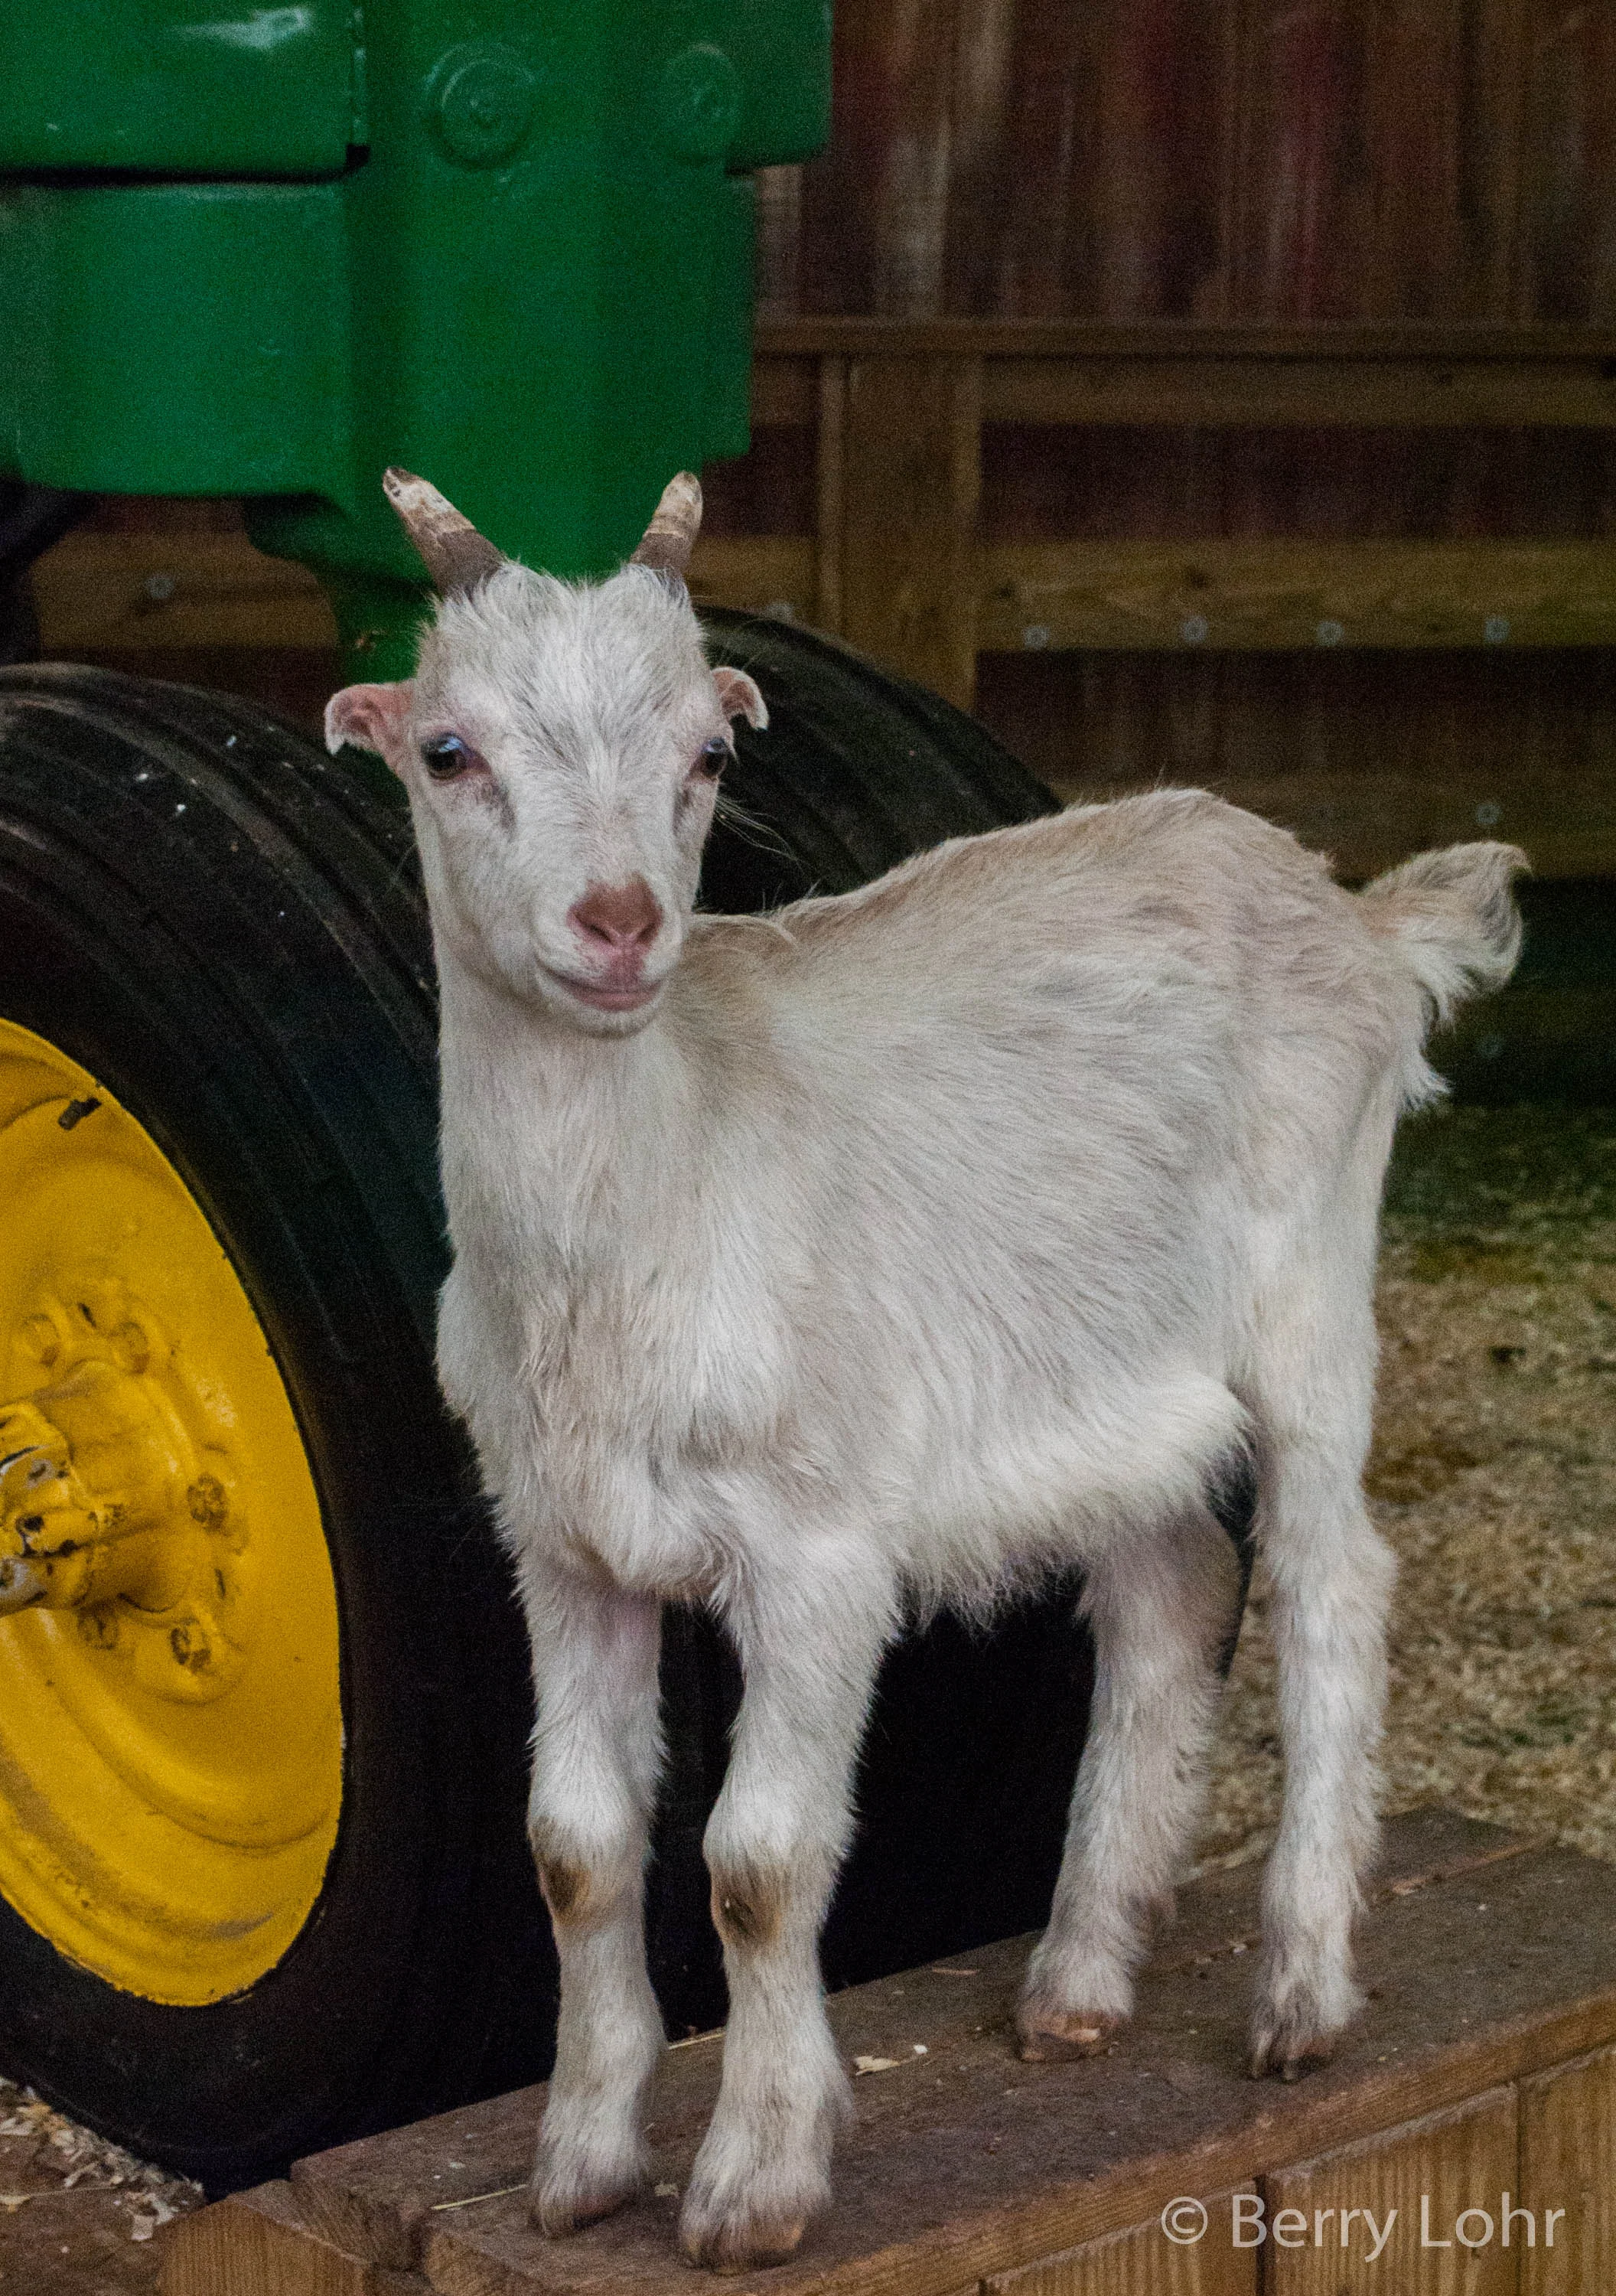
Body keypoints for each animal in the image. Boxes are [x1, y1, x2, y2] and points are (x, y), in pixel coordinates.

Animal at [327, 468, 1524, 2271]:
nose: (619, 927)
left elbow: (756, 1863)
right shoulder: (561, 1543)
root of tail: (1355, 915)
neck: (660, 1189)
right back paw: (1079, 1980)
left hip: (1310, 1291)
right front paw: (580, 2163)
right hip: (1110, 1380)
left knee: (1333, 1583)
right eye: (451, 750)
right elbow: (577, 1850)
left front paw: (755, 2183)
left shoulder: (819, 1549)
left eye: (708, 756)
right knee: (1168, 1589)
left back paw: (1300, 1996)